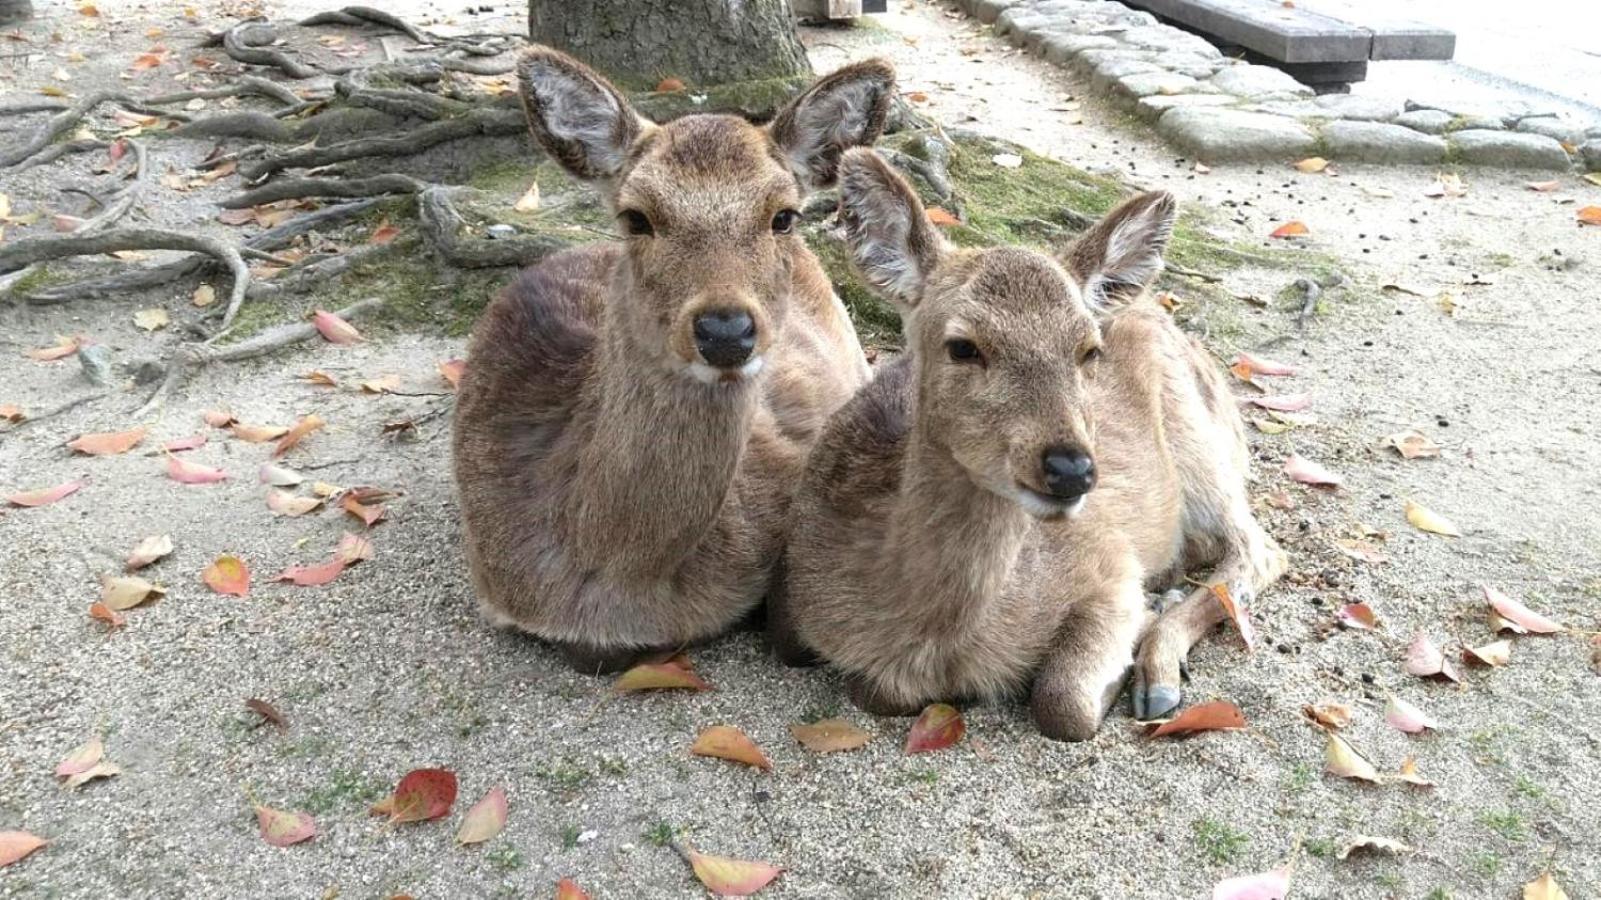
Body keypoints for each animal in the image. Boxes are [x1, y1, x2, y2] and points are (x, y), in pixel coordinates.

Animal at [765, 145, 1287, 736]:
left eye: (1089, 349)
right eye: (962, 346)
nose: (1071, 469)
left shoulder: (1110, 565)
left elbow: (1065, 705)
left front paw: (1134, 639)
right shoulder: (790, 592)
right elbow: (846, 675)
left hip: (1202, 447)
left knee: (1259, 548)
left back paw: (1158, 674)